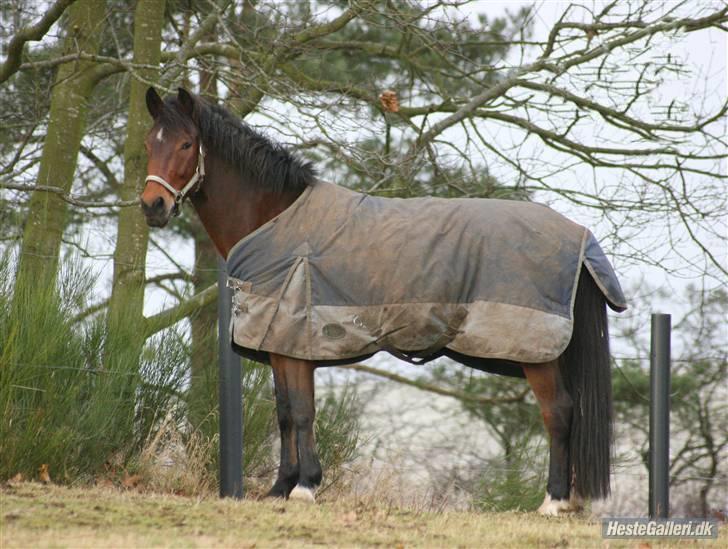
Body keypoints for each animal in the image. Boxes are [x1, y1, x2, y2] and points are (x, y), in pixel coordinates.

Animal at [139, 86, 624, 512]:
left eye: (186, 143)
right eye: (150, 142)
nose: (152, 206)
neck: (276, 219)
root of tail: (578, 235)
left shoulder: (297, 342)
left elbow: (303, 412)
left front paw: (306, 488)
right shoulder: (280, 343)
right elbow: (284, 414)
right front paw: (280, 488)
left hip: (536, 350)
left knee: (558, 413)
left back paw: (553, 501)